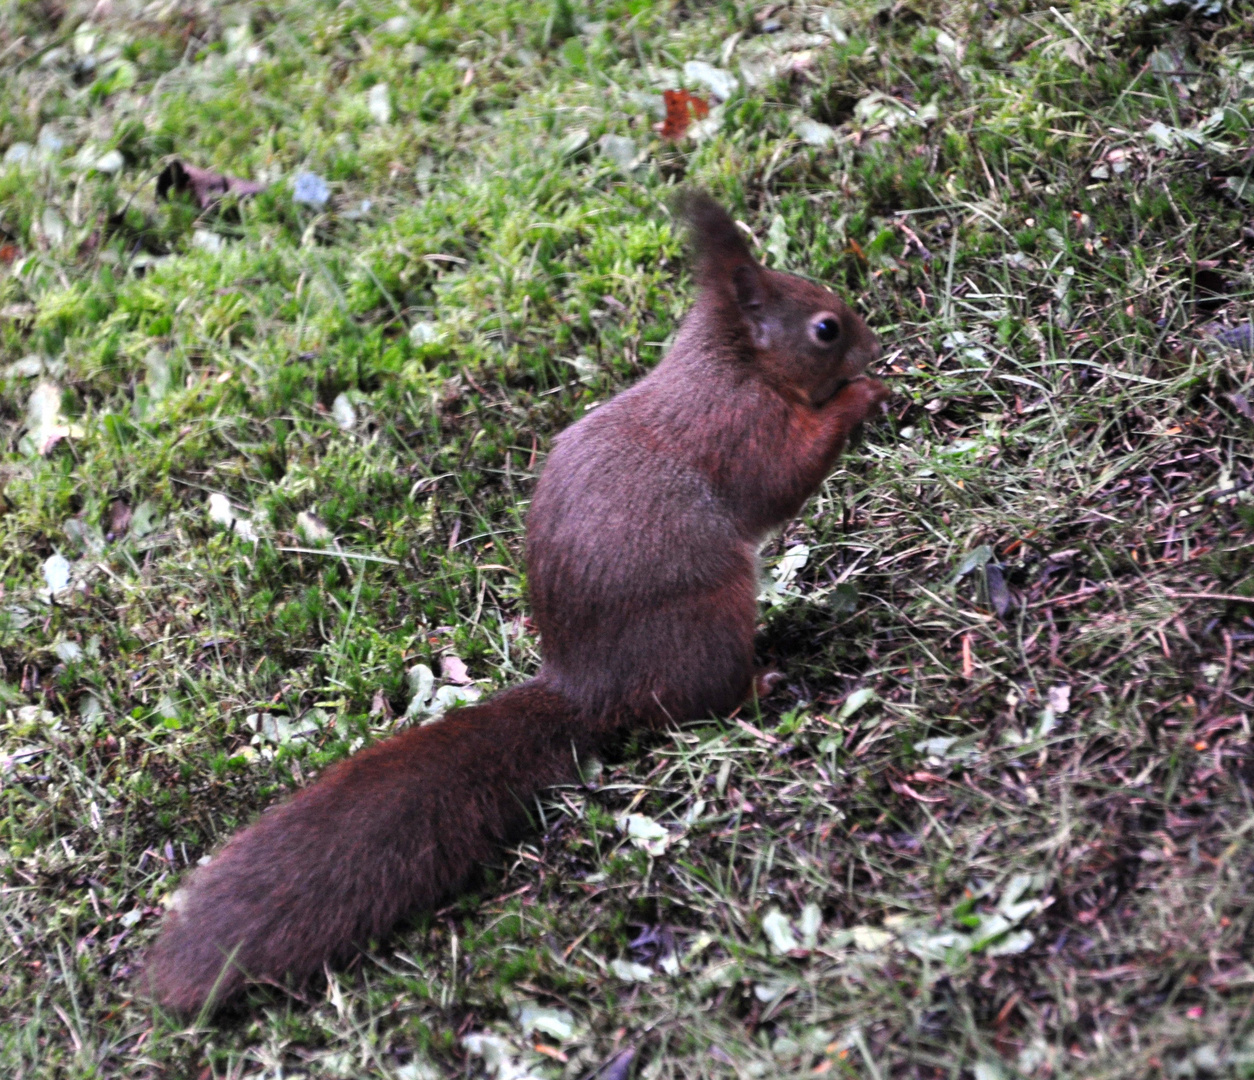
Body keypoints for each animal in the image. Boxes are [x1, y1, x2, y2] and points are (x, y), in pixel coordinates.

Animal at [149, 191, 892, 1013]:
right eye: (825, 329)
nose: (871, 342)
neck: (735, 365)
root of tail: (591, 688)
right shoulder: (740, 430)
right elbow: (782, 476)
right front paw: (865, 395)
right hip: (707, 613)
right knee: (698, 705)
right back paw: (759, 683)